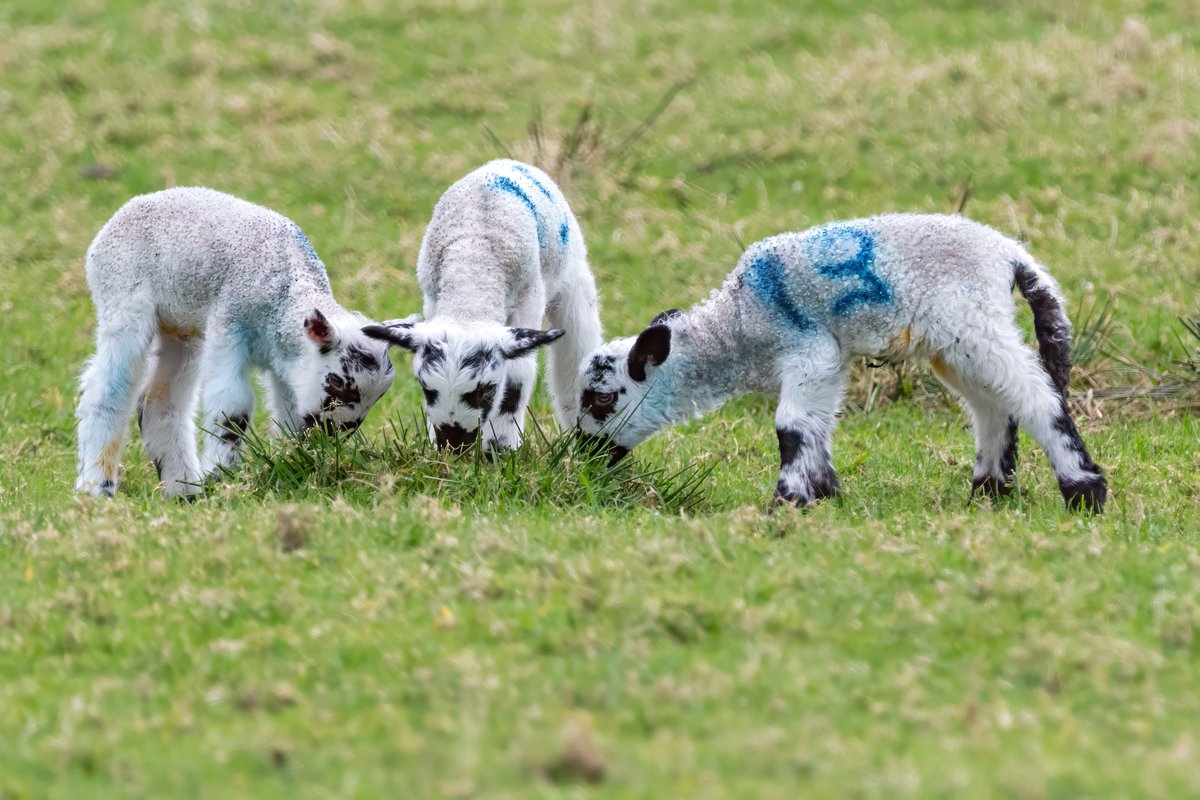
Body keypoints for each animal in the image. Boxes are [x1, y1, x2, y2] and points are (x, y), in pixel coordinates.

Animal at [75, 188, 398, 501]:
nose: (335, 432)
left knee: (159, 401)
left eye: (378, 397)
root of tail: (125, 210)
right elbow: (231, 405)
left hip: (182, 328)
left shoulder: (288, 363)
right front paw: (221, 478)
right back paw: (96, 487)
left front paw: (295, 461)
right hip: (123, 301)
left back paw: (184, 492)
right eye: (337, 382)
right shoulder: (230, 325)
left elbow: (289, 415)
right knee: (107, 389)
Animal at [362, 159, 604, 453]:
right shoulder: (432, 300)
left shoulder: (529, 297)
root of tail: (507, 162)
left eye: (486, 390)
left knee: (576, 352)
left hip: (571, 278)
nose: (454, 445)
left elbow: (518, 376)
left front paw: (500, 448)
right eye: (427, 389)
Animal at [576, 212, 1108, 513]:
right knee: (993, 406)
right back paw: (988, 494)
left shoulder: (808, 351)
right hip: (954, 341)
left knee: (1036, 395)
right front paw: (825, 493)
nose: (581, 456)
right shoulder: (827, 361)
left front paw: (786, 503)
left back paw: (1084, 493)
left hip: (972, 321)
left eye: (602, 400)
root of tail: (1009, 254)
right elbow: (816, 424)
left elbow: (790, 425)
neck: (736, 328)